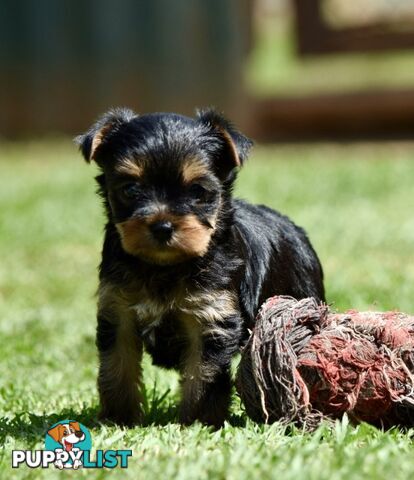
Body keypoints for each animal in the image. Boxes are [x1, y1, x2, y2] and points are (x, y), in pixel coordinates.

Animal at [76, 109, 326, 428]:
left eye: (197, 191)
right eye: (130, 189)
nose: (162, 226)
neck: (165, 267)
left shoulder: (211, 317)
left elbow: (203, 375)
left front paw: (197, 422)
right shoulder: (118, 312)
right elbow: (117, 367)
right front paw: (118, 419)